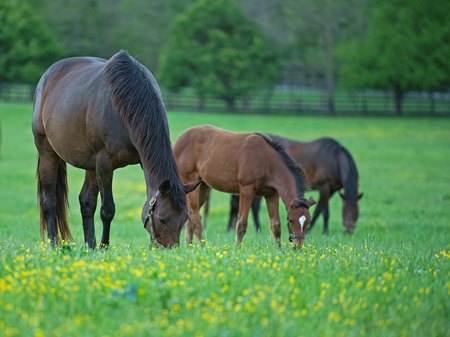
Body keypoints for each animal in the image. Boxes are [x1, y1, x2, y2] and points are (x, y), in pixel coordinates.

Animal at [31, 50, 199, 249]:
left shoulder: (138, 159)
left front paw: (98, 247)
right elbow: (107, 209)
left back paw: (90, 246)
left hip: (90, 164)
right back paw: (53, 245)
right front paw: (104, 246)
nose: (169, 250)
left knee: (86, 202)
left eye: (184, 219)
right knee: (50, 201)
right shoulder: (104, 164)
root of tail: (48, 76)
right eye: (162, 219)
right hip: (47, 152)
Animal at [172, 124, 316, 248]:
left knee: (192, 214)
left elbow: (276, 225)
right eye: (290, 220)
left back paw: (189, 247)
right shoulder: (247, 190)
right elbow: (241, 224)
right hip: (190, 181)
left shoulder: (271, 194)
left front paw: (279, 250)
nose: (298, 246)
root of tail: (179, 140)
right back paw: (202, 247)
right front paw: (236, 249)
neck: (267, 161)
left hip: (202, 186)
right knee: (195, 217)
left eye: (308, 221)